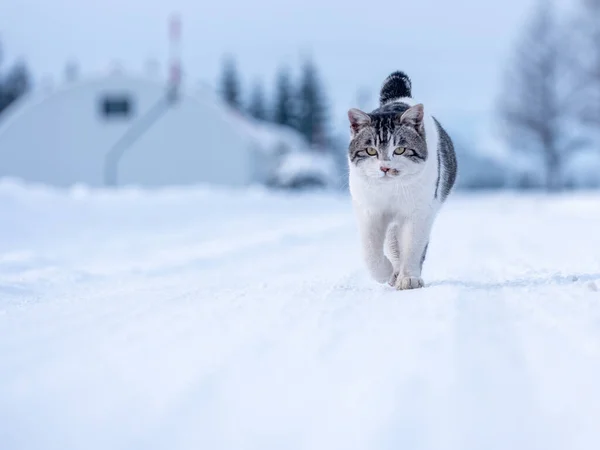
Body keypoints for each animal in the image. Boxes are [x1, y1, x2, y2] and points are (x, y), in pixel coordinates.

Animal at [344, 70, 458, 288]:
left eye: (400, 150)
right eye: (371, 150)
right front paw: (385, 273)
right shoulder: (368, 211)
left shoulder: (419, 212)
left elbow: (412, 246)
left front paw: (409, 278)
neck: (391, 191)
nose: (385, 167)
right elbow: (370, 251)